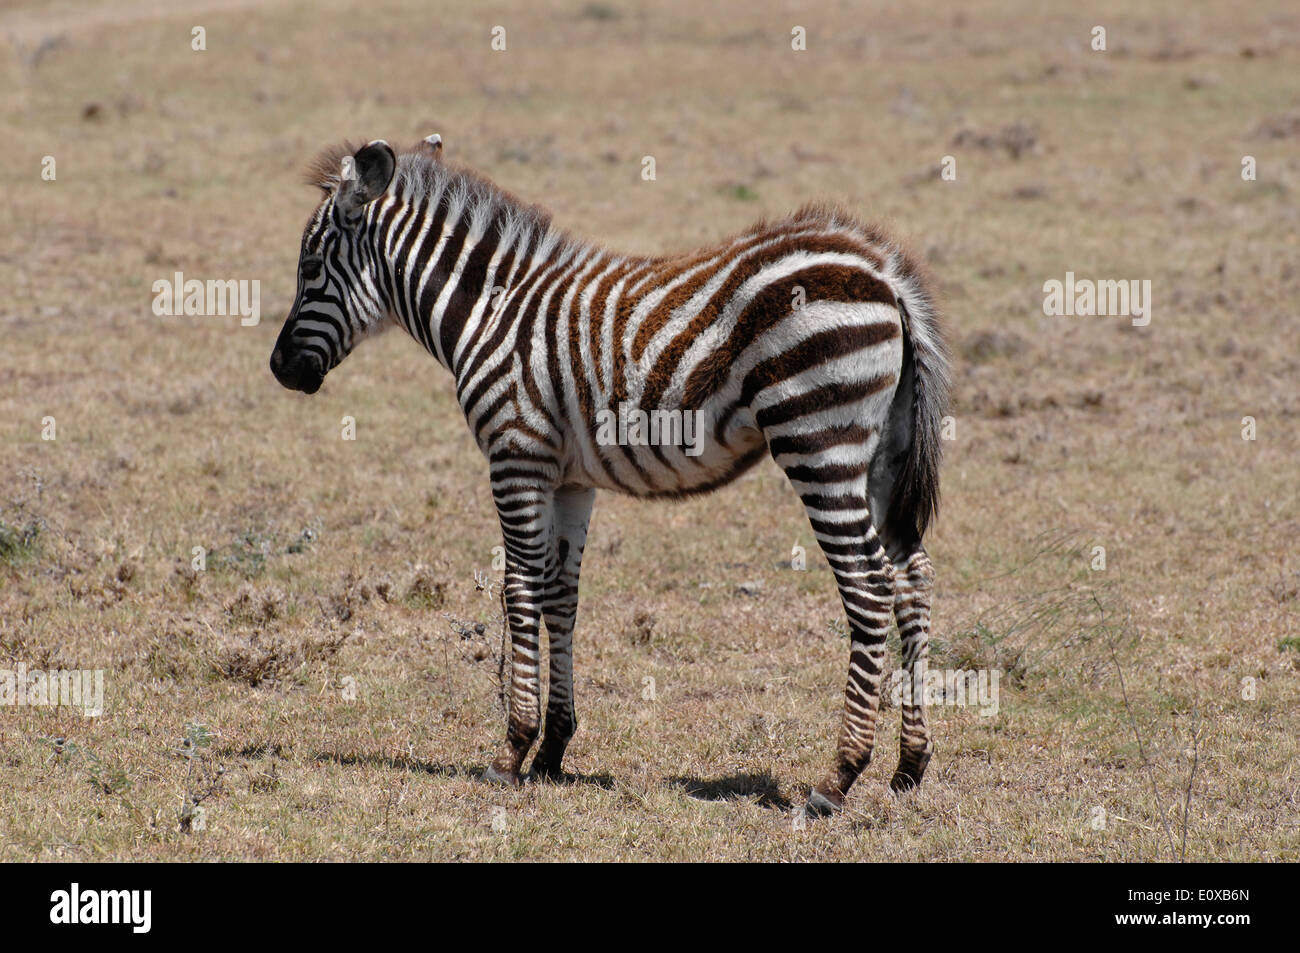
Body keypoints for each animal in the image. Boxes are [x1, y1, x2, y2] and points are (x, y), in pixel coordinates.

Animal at [269, 135, 951, 816]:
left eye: (310, 267)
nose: (279, 369)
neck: (490, 314)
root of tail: (886, 273)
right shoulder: (571, 479)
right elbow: (560, 595)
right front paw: (552, 749)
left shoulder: (516, 456)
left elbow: (518, 591)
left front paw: (511, 752)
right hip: (880, 455)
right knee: (911, 576)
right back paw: (909, 765)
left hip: (817, 441)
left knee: (868, 586)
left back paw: (838, 779)